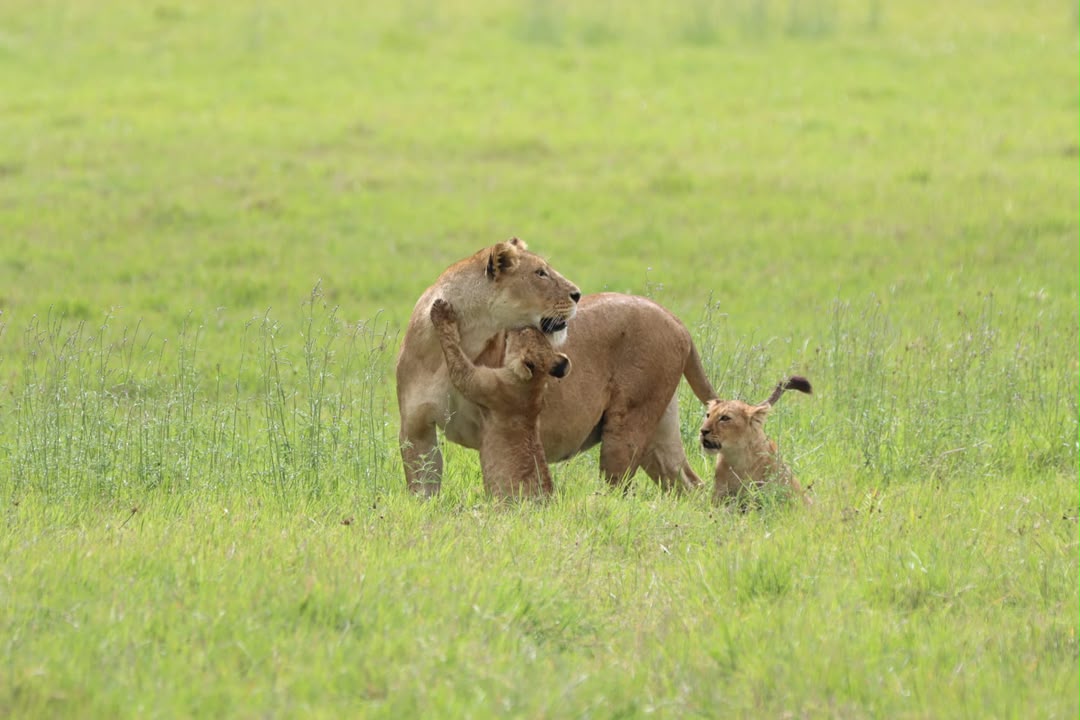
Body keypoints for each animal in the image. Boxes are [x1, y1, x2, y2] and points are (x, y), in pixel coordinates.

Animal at [429, 298, 570, 500]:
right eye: (536, 334)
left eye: (523, 333)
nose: (526, 324)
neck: (534, 385)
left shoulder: (481, 383)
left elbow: (456, 358)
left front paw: (442, 312)